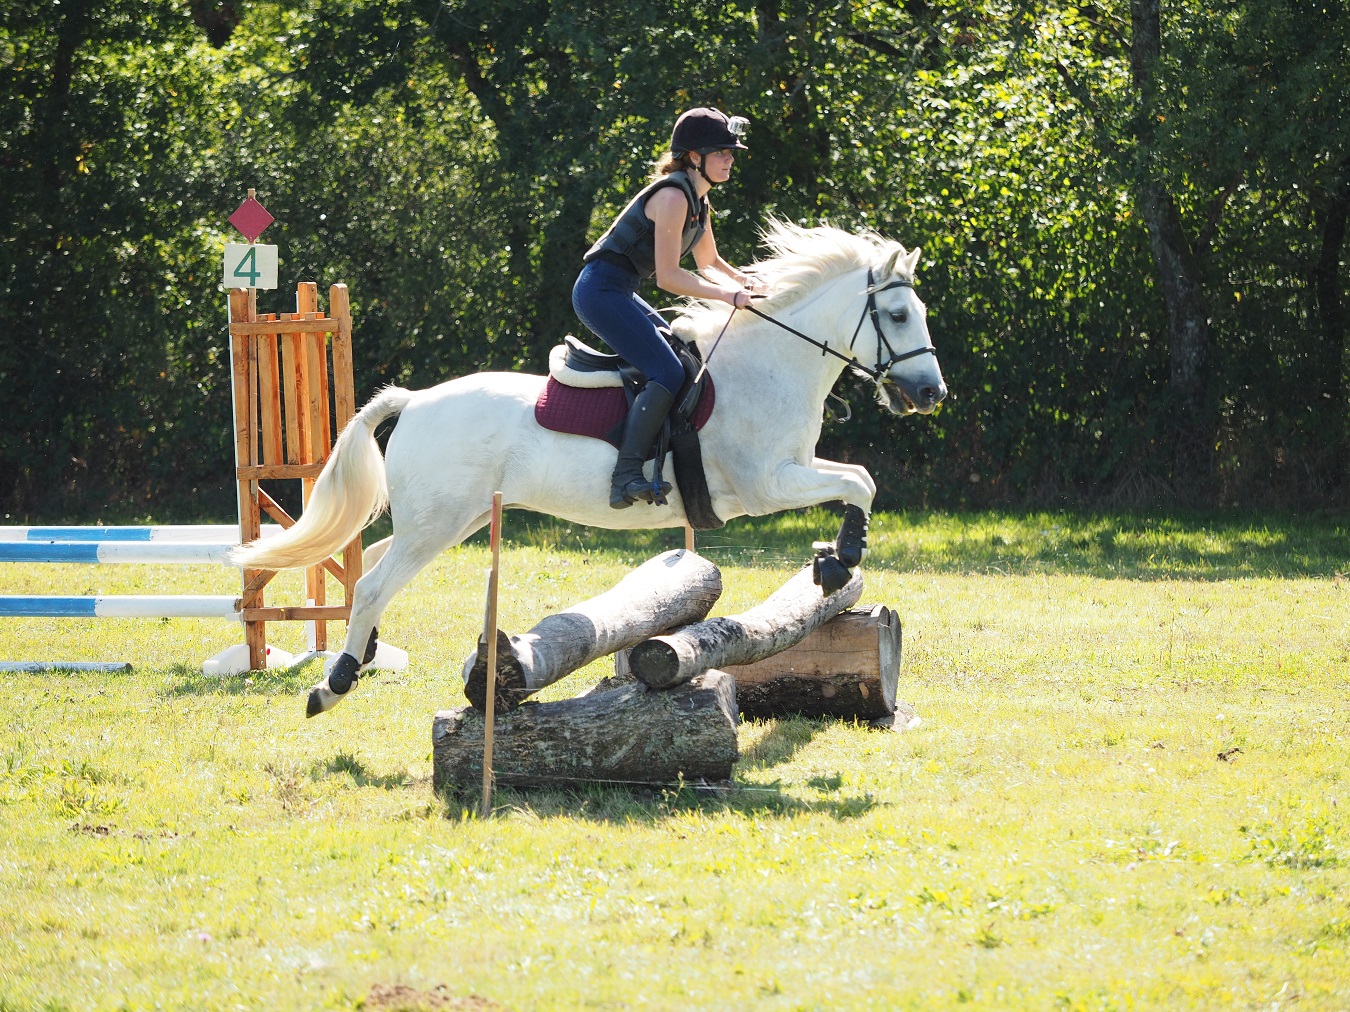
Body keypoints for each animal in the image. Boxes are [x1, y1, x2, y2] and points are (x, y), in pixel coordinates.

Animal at [232, 221, 945, 717]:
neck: (770, 363)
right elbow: (859, 480)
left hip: (447, 520)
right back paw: (334, 683)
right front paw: (841, 559)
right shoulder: (768, 483)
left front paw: (834, 557)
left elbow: (862, 480)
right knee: (376, 583)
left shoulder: (790, 470)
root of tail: (415, 399)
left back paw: (363, 656)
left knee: (371, 568)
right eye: (899, 315)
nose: (932, 392)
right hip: (437, 524)